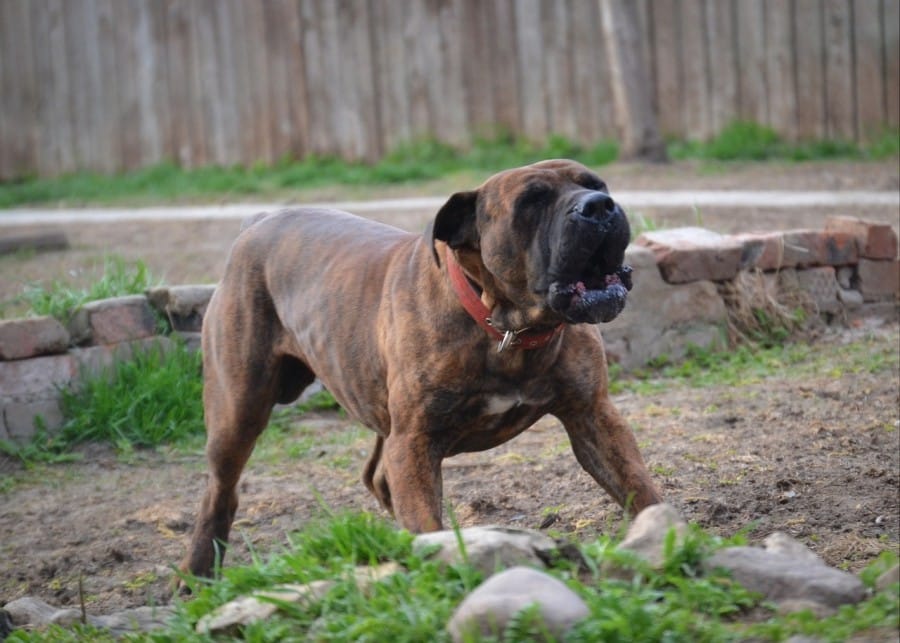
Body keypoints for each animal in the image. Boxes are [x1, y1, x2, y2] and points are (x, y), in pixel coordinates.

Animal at [181, 160, 660, 580]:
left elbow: (639, 487)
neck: (505, 327)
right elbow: (427, 522)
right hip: (238, 412)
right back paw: (196, 574)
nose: (598, 206)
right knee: (219, 492)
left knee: (376, 476)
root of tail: (257, 223)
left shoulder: (593, 415)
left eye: (596, 183)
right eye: (531, 200)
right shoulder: (414, 442)